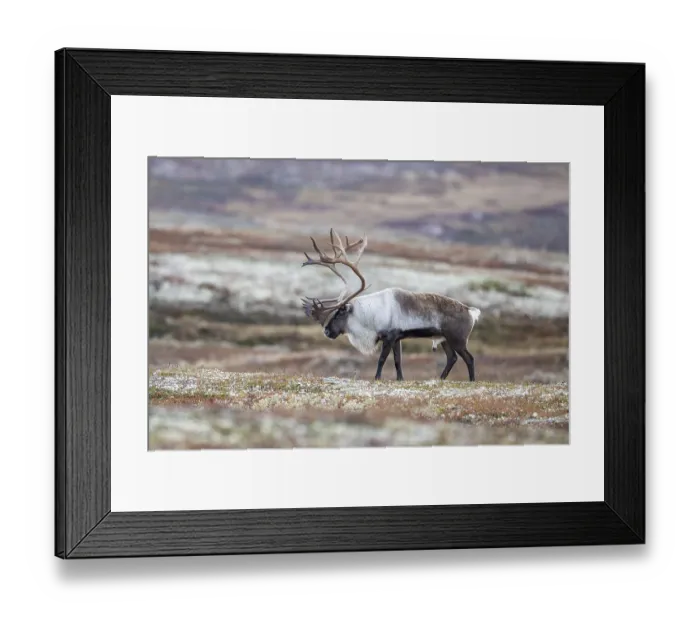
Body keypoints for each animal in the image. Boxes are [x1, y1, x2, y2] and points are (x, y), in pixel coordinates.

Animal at [300, 229, 481, 381]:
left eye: (339, 313)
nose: (326, 331)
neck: (369, 314)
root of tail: (471, 311)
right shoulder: (397, 338)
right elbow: (397, 360)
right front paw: (400, 379)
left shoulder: (389, 336)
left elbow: (382, 359)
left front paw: (377, 378)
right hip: (445, 339)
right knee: (452, 357)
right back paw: (440, 379)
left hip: (458, 339)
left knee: (469, 358)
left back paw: (471, 381)